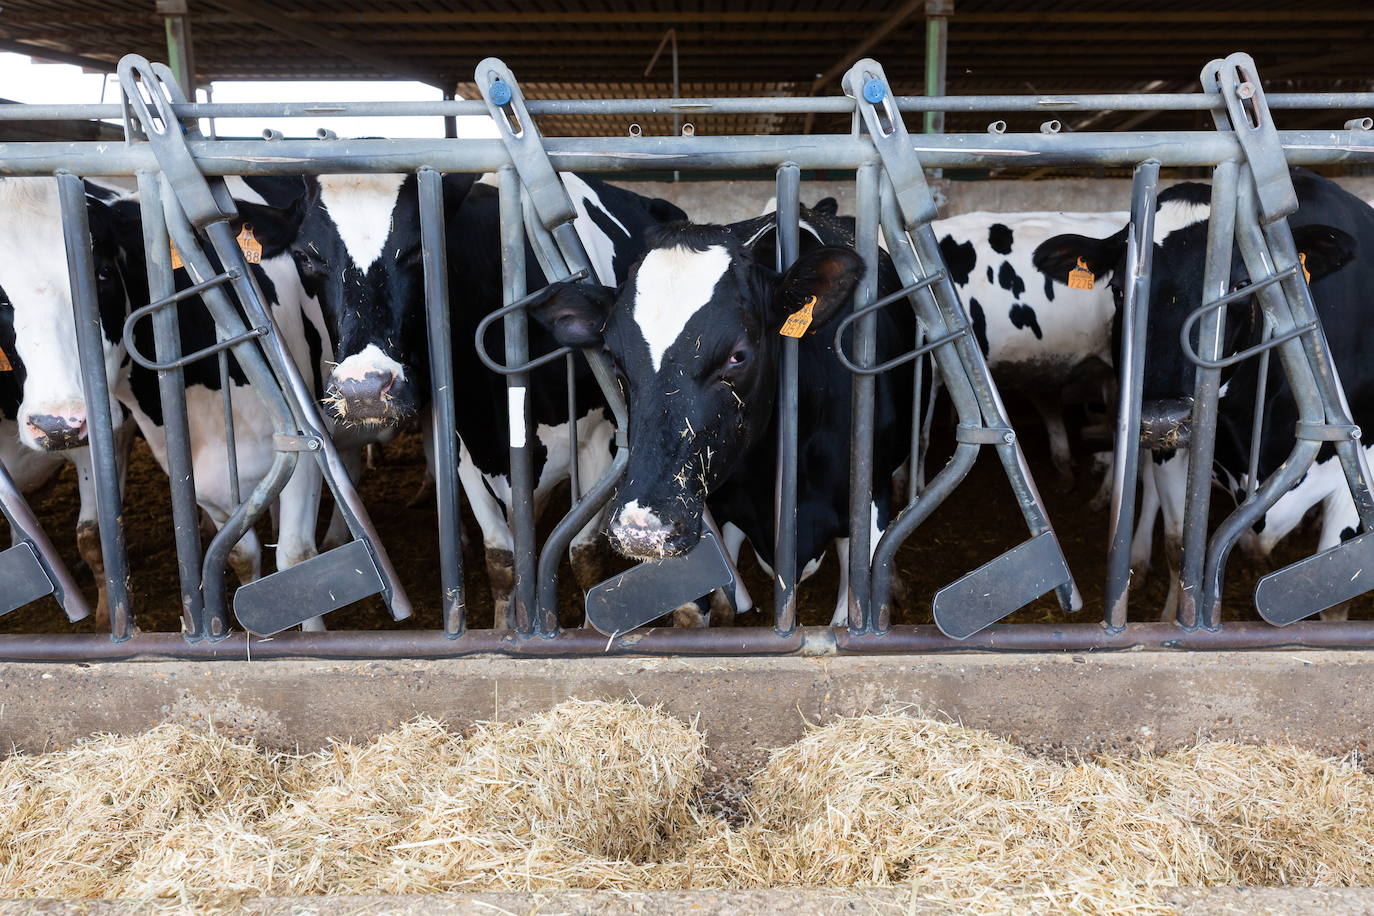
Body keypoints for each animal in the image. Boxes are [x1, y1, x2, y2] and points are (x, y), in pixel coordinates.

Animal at [237, 170, 692, 623]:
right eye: (305, 257)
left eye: (417, 251)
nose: (364, 389)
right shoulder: (467, 448)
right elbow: (502, 562)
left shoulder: (602, 441)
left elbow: (584, 555)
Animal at [1033, 168, 1368, 620]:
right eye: (1119, 289)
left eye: (1243, 284)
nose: (1163, 415)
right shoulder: (1170, 449)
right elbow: (1180, 550)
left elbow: (1334, 587)